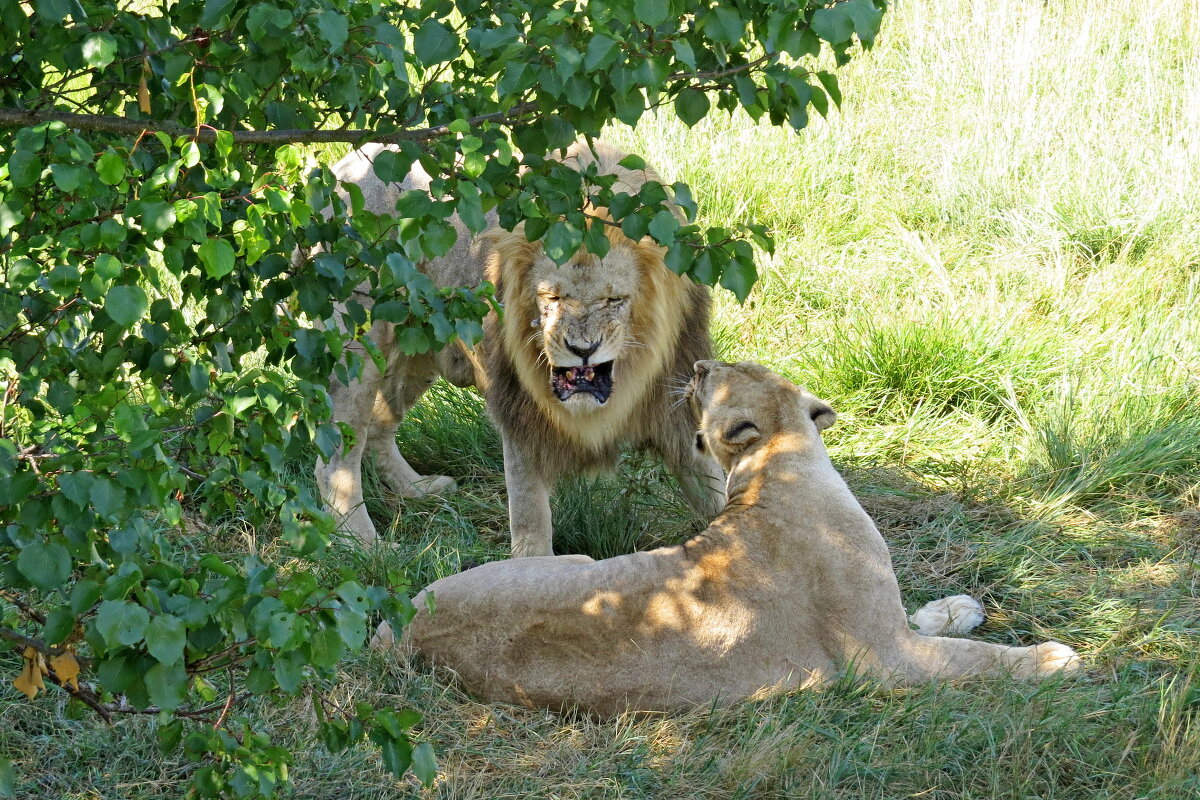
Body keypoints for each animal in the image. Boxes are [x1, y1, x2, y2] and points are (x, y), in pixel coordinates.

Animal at [309, 140, 720, 554]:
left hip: (418, 347)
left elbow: (717, 493)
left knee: (380, 425)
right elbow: (528, 510)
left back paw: (417, 488)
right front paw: (534, 560)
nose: (582, 349)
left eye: (614, 300)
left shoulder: (674, 405)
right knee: (336, 457)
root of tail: (341, 169)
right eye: (551, 297)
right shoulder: (521, 410)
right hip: (358, 346)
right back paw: (363, 543)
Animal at [369, 362, 1084, 714]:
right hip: (562, 558)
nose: (697, 362)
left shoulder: (887, 625)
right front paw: (1050, 659)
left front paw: (961, 608)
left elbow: (933, 621)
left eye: (722, 372)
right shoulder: (883, 657)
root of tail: (403, 631)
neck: (776, 463)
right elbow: (976, 661)